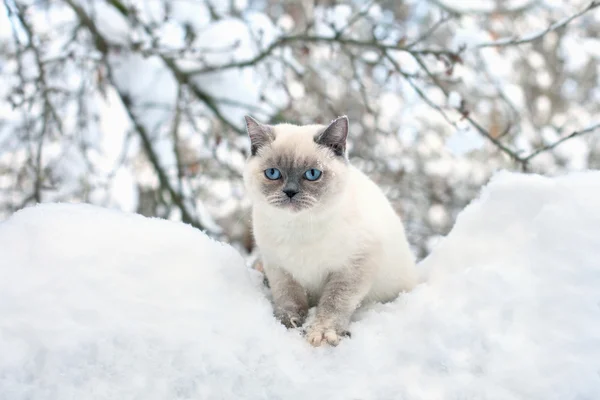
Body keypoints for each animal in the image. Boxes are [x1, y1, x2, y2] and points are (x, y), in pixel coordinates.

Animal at [241, 115, 414, 346]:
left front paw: (322, 334)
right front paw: (289, 324)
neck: (297, 228)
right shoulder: (279, 268)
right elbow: (289, 300)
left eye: (312, 174)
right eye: (273, 173)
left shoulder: (354, 266)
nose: (290, 192)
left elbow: (333, 304)